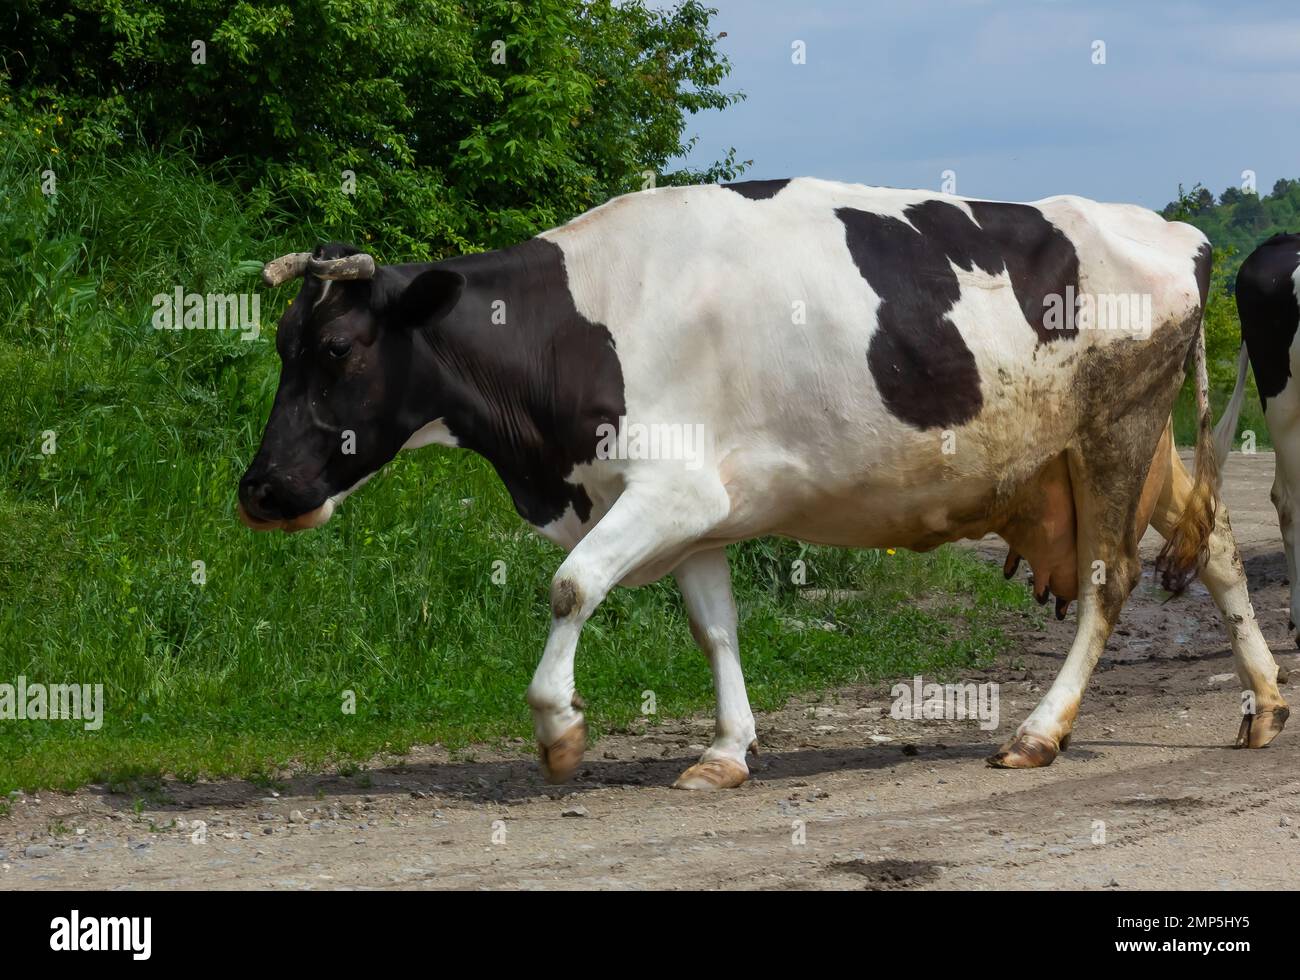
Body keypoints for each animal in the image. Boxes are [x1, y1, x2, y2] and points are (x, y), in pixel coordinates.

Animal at [240, 178, 1288, 790]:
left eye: (336, 349)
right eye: (284, 344)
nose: (259, 490)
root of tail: (1176, 228)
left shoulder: (671, 490)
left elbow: (571, 585)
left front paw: (560, 730)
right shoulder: (700, 514)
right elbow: (716, 630)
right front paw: (724, 750)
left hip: (1117, 429)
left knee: (1111, 581)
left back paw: (1039, 731)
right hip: (1126, 446)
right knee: (1217, 543)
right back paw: (1266, 703)